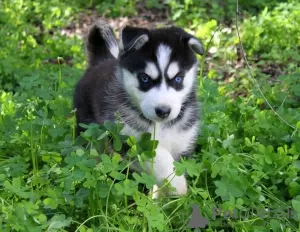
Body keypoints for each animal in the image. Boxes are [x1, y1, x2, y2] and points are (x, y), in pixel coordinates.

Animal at [73, 20, 203, 196]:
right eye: (144, 78)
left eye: (178, 78)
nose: (163, 111)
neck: (160, 126)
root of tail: (101, 60)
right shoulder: (128, 137)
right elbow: (159, 156)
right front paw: (177, 184)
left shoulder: (182, 141)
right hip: (88, 129)